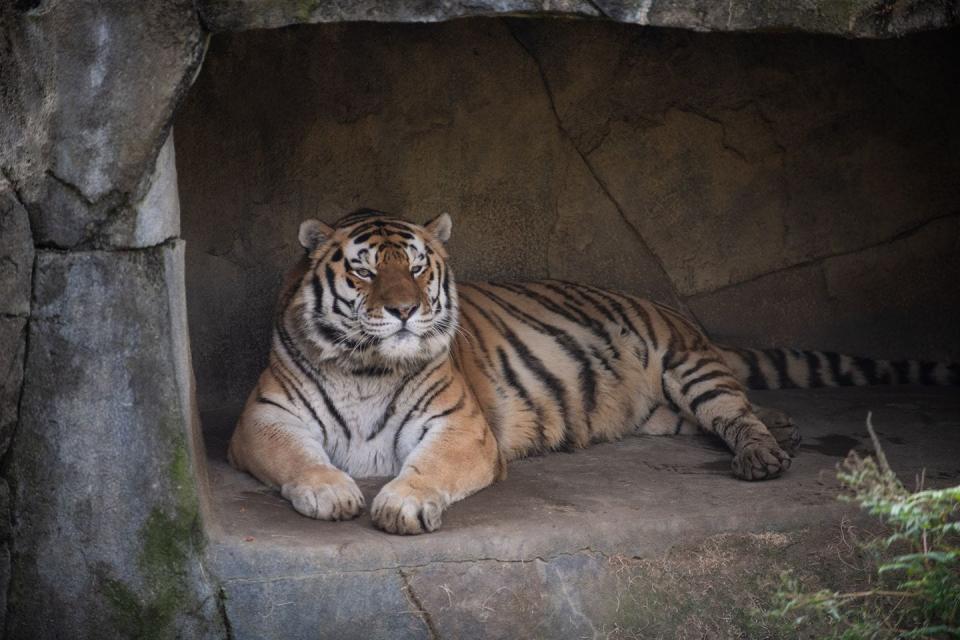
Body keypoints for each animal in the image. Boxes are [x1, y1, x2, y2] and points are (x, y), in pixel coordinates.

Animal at [227, 208, 960, 532]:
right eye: (362, 271)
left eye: (416, 266)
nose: (405, 311)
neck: (368, 367)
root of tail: (674, 312)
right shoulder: (264, 420)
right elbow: (299, 459)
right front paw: (332, 491)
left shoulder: (461, 427)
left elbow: (427, 469)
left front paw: (401, 502)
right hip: (665, 412)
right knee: (738, 411)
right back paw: (785, 431)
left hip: (689, 367)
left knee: (735, 413)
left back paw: (764, 455)